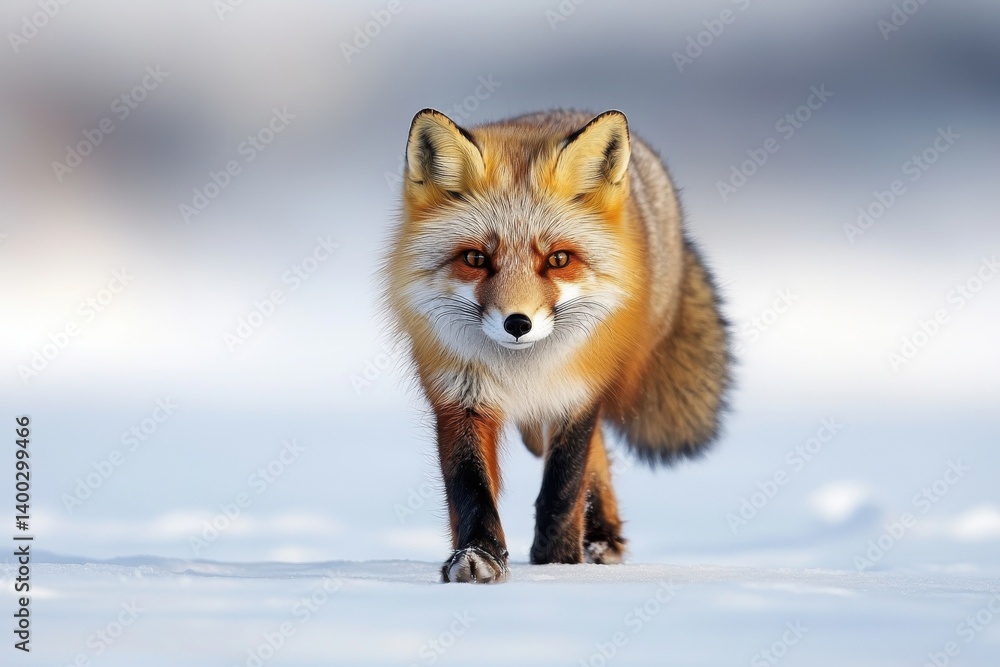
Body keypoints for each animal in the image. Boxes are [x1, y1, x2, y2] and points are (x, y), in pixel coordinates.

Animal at [385, 108, 731, 583]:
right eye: (475, 259)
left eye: (558, 260)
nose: (517, 323)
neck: (521, 370)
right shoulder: (460, 395)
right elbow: (470, 486)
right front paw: (478, 556)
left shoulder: (578, 391)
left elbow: (564, 484)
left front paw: (558, 563)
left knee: (594, 453)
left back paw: (601, 538)